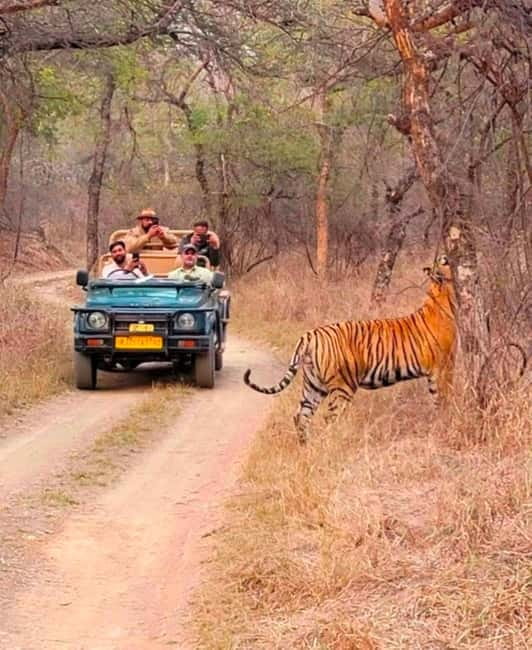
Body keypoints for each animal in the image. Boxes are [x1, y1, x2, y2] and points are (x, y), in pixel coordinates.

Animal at [244, 256, 457, 442]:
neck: (441, 296)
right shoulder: (443, 366)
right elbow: (443, 395)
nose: (445, 256)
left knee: (301, 416)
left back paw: (306, 447)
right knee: (330, 418)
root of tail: (310, 335)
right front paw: (444, 417)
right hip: (343, 386)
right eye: (444, 261)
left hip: (313, 385)